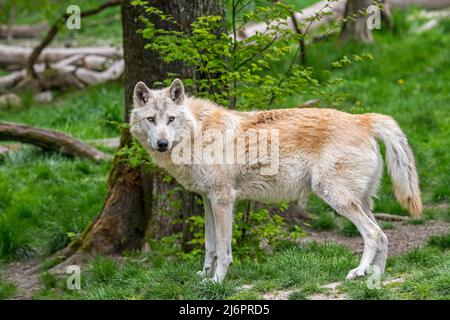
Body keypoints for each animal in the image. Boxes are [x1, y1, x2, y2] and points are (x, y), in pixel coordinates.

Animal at [130, 79, 422, 282]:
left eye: (170, 119)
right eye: (151, 119)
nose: (162, 143)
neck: (198, 133)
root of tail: (363, 119)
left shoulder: (223, 199)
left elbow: (224, 250)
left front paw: (216, 281)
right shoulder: (207, 198)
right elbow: (210, 245)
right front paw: (203, 277)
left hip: (336, 198)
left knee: (373, 234)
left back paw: (359, 272)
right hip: (359, 202)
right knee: (384, 237)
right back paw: (375, 278)